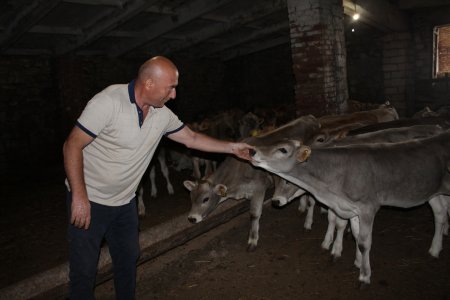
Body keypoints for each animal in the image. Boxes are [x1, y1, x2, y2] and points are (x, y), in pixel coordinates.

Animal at [248, 132, 450, 286]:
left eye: (283, 149)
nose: (252, 151)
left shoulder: (368, 207)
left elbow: (364, 242)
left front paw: (364, 276)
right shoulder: (350, 208)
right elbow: (355, 233)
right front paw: (357, 261)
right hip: (431, 192)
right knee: (440, 214)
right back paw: (434, 250)